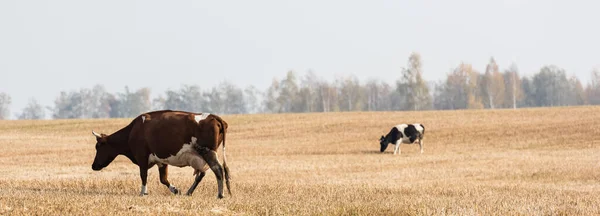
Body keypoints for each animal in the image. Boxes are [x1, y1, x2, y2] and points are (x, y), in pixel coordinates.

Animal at [90, 110, 231, 198]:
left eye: (98, 147)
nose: (93, 166)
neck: (133, 131)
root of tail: (214, 117)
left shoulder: (142, 157)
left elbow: (143, 175)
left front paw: (143, 192)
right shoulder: (161, 161)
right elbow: (163, 179)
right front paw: (175, 190)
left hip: (208, 152)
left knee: (218, 170)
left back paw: (220, 194)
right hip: (201, 156)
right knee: (202, 174)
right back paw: (189, 192)